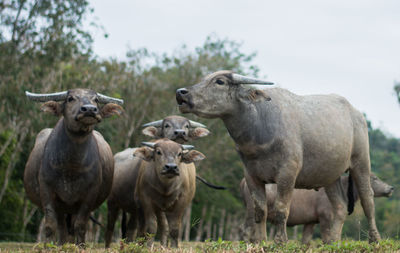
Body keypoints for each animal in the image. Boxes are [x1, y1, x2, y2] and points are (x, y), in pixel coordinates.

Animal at [24, 89, 122, 245]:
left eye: (96, 100)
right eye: (70, 98)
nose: (89, 109)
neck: (72, 166)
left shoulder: (89, 195)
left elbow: (80, 226)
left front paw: (80, 246)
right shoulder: (47, 191)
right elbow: (50, 226)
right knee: (62, 228)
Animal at [103, 116, 222, 247]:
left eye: (179, 154)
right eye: (166, 125)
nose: (171, 167)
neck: (166, 187)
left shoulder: (181, 202)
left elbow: (173, 228)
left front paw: (171, 247)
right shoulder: (145, 202)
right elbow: (150, 228)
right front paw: (148, 246)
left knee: (133, 228)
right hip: (112, 203)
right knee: (112, 227)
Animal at [239, 174, 392, 243]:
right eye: (374, 178)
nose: (391, 188)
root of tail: (244, 181)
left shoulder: (310, 221)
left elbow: (306, 240)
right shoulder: (325, 218)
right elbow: (326, 238)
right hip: (252, 211)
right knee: (246, 229)